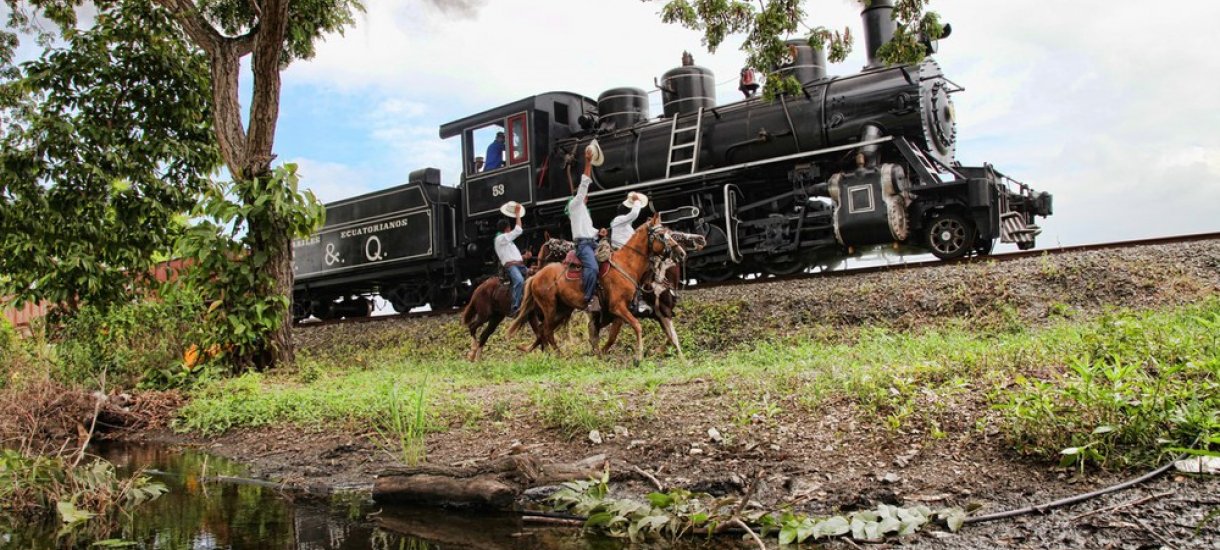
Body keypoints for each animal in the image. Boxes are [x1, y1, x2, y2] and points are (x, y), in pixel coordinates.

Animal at [502, 215, 683, 365]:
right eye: (662, 235)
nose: (680, 252)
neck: (626, 264)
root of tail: (536, 276)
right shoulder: (618, 308)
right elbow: (636, 327)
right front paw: (638, 357)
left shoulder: (619, 312)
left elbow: (610, 335)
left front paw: (599, 354)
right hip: (550, 308)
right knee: (545, 330)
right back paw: (557, 356)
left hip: (563, 309)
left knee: (544, 331)